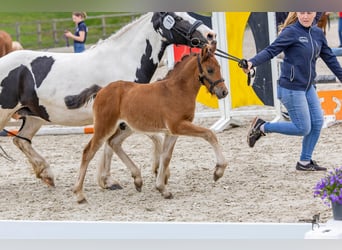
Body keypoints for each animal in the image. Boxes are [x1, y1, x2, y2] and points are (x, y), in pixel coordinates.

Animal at [0, 11, 214, 188]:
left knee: (21, 141)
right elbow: (122, 142)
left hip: (34, 116)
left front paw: (108, 180)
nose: (211, 35)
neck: (121, 60)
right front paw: (112, 179)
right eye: (177, 17)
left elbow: (118, 143)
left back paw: (47, 174)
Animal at [69, 41, 227, 203]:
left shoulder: (173, 131)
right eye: (210, 70)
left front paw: (162, 188)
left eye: (219, 68)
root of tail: (101, 90)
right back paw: (79, 194)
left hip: (126, 127)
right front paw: (218, 171)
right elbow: (209, 134)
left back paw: (137, 179)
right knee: (88, 151)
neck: (177, 90)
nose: (224, 92)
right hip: (104, 127)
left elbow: (165, 156)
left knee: (114, 143)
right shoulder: (178, 126)